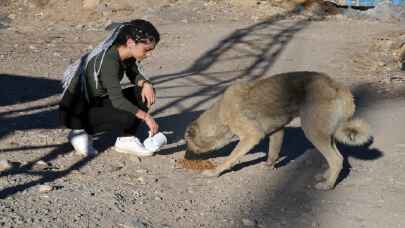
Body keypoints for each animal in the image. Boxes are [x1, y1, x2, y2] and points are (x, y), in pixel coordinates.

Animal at [183, 71, 370, 191]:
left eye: (187, 143)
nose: (184, 158)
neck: (221, 114)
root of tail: (339, 87)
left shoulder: (251, 136)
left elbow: (230, 158)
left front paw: (215, 171)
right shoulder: (277, 131)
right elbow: (273, 152)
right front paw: (269, 165)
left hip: (313, 132)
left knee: (336, 160)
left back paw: (328, 185)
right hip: (326, 133)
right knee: (338, 157)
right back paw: (325, 176)